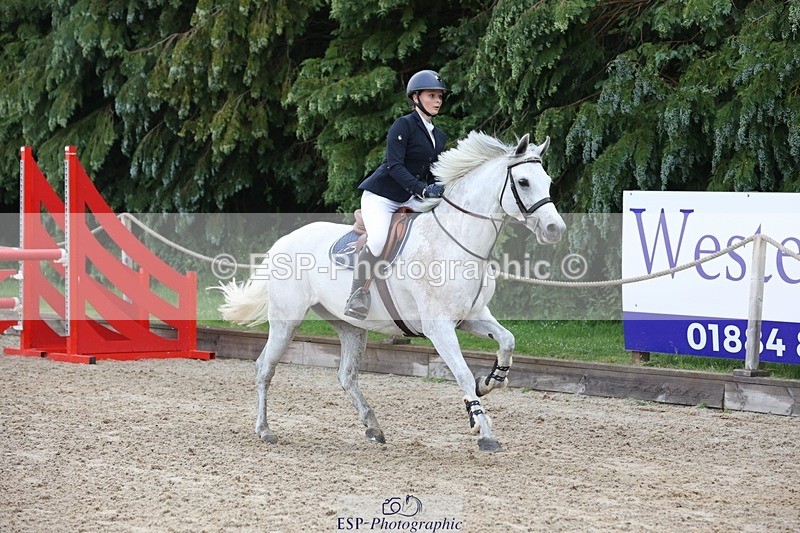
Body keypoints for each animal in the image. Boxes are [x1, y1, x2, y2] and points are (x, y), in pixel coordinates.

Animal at [217, 131, 566, 452]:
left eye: (547, 181)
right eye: (523, 181)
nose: (555, 230)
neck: (456, 241)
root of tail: (283, 241)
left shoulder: (472, 316)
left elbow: (507, 340)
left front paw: (490, 381)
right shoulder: (439, 327)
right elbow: (463, 374)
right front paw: (483, 430)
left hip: (350, 326)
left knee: (346, 375)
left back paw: (373, 427)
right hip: (286, 320)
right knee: (265, 368)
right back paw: (265, 430)